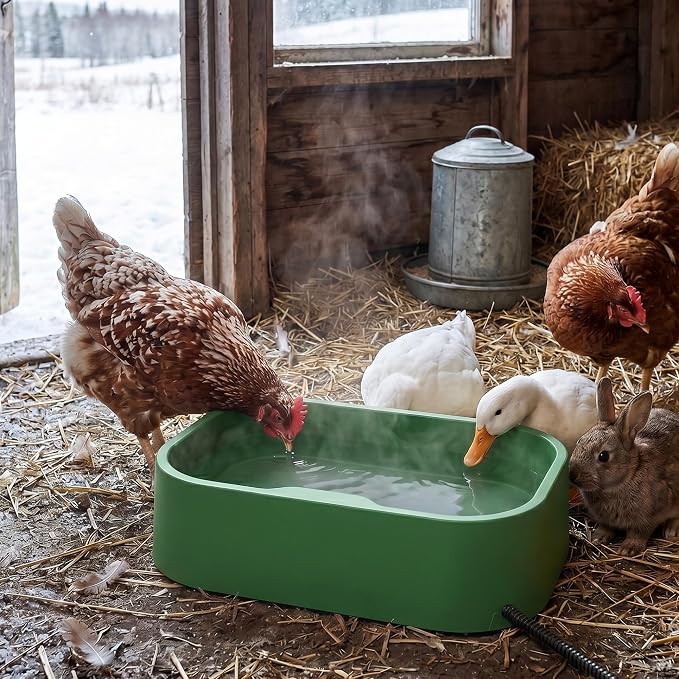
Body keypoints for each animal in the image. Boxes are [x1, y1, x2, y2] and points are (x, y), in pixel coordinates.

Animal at [568, 377, 679, 555]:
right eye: (579, 441)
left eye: (603, 456)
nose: (573, 475)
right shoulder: (605, 519)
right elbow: (606, 527)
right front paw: (598, 537)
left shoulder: (648, 516)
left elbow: (639, 533)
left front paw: (628, 549)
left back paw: (671, 531)